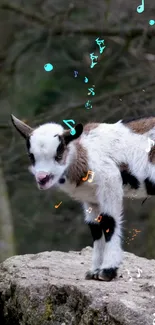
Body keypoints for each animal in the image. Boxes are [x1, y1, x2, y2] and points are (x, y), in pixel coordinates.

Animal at [10, 114, 155, 280]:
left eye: (59, 155)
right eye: (31, 156)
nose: (42, 178)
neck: (85, 154)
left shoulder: (110, 181)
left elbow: (109, 222)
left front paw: (107, 271)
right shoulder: (91, 197)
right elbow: (95, 227)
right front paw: (94, 271)